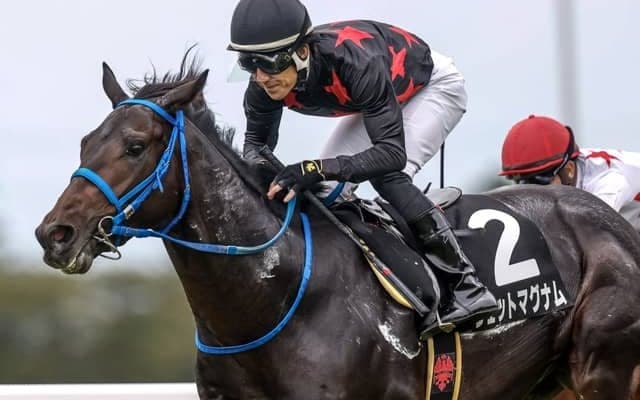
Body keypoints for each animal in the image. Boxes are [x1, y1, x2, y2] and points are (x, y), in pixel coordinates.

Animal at [35, 54, 640, 399]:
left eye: (135, 146)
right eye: (86, 142)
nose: (55, 234)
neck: (274, 298)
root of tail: (612, 223)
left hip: (603, 370)